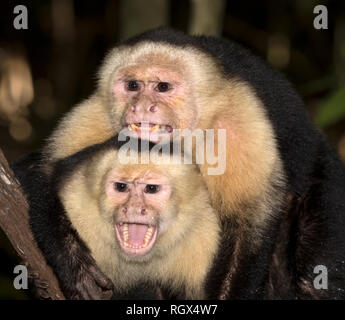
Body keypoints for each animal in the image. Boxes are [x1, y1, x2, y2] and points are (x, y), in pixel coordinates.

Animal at [12, 28, 344, 300]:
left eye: (162, 87)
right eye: (132, 85)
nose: (141, 106)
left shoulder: (237, 124)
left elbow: (247, 228)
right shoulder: (99, 112)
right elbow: (42, 171)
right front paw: (73, 265)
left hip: (323, 176)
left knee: (312, 278)